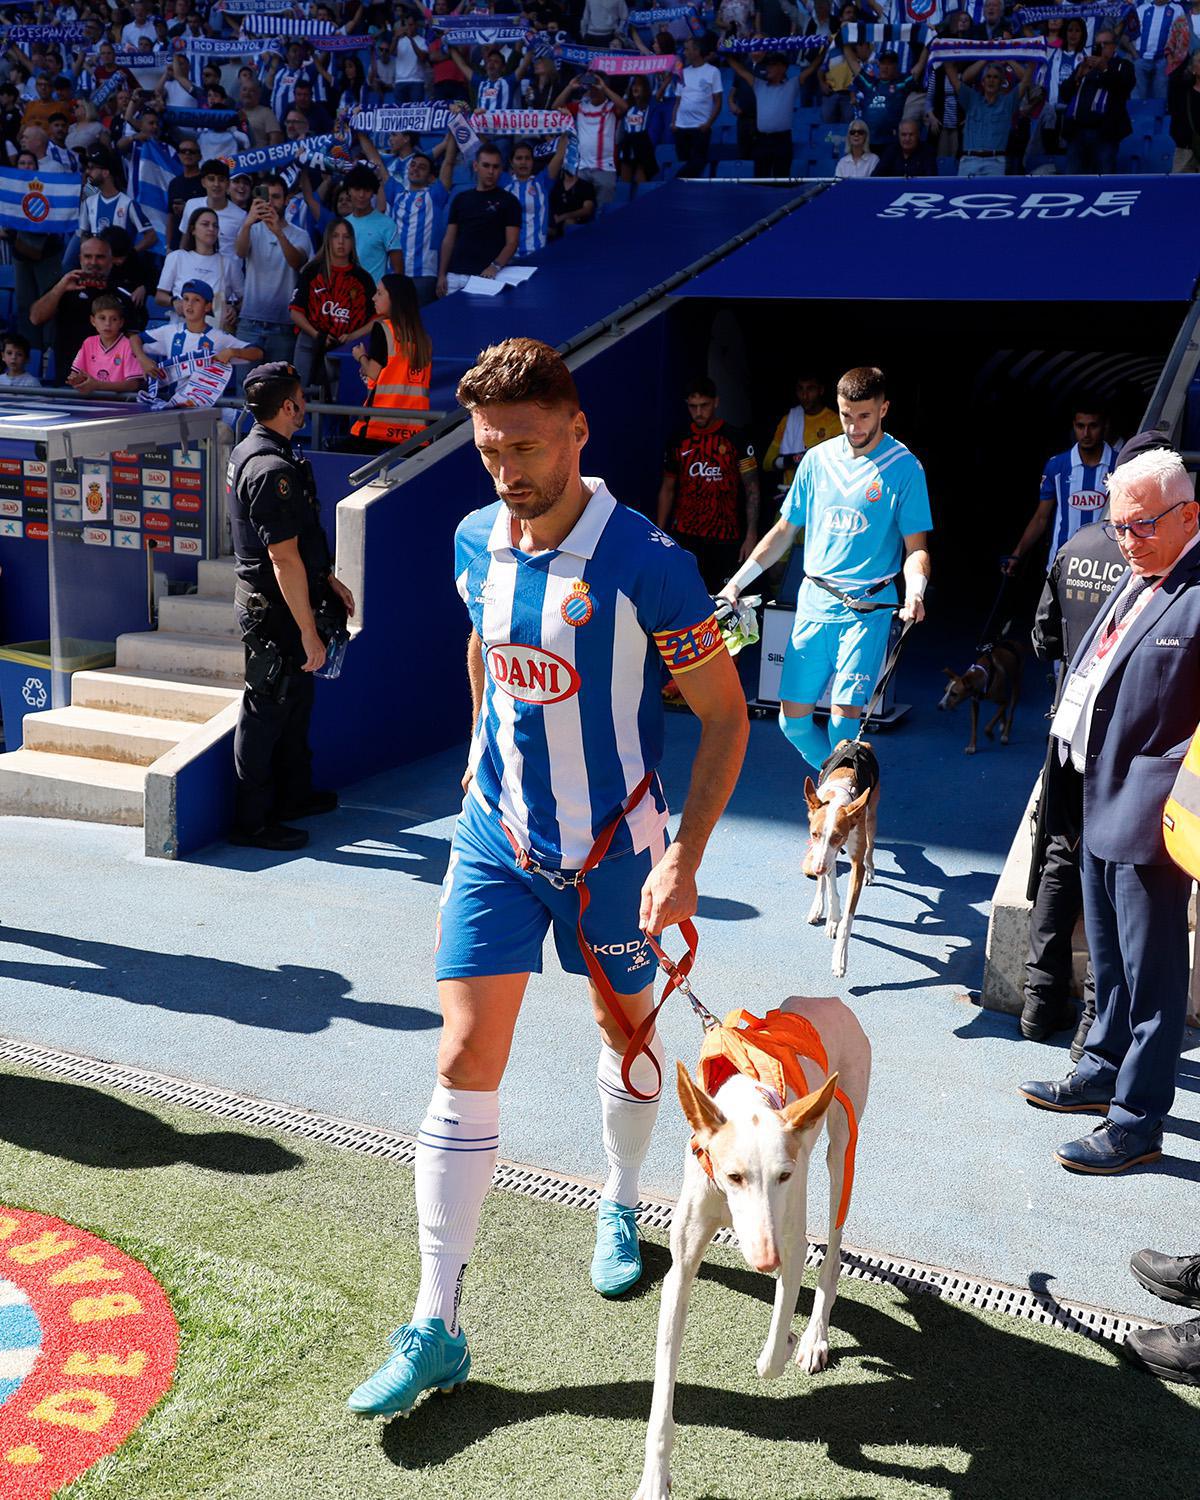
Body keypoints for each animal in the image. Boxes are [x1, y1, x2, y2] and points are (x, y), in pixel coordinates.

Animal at [627, 996, 870, 1500]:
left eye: (783, 1175)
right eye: (733, 1175)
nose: (764, 1260)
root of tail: (829, 1000)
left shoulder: (792, 1243)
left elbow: (770, 1359)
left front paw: (790, 1339)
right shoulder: (680, 1272)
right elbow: (661, 1396)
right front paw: (655, 1478)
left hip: (842, 1148)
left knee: (833, 1253)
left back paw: (814, 1336)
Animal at [804, 741, 876, 984]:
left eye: (838, 836)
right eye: (814, 834)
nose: (816, 869)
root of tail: (858, 742)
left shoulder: (854, 863)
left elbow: (848, 920)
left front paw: (839, 960)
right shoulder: (825, 853)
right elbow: (830, 887)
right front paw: (832, 918)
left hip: (871, 818)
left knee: (871, 845)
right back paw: (818, 907)